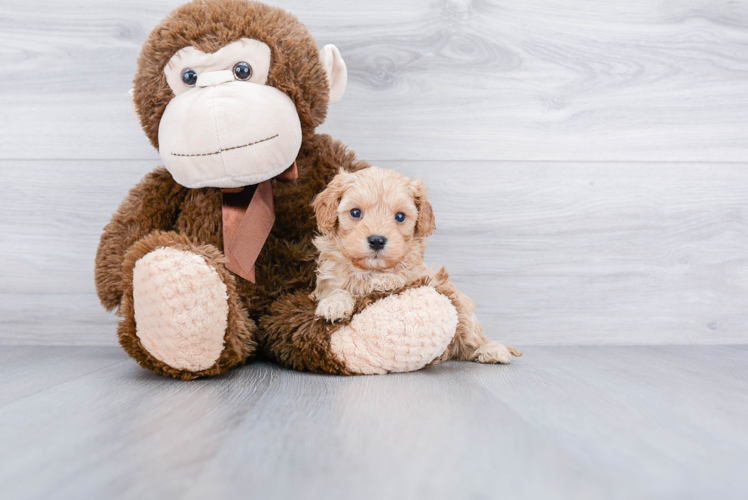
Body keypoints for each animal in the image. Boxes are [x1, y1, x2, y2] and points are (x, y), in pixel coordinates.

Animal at [310, 166, 520, 366]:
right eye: (355, 212)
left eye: (400, 216)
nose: (377, 241)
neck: (369, 269)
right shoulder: (325, 282)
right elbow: (335, 290)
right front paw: (334, 304)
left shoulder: (422, 275)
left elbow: (404, 274)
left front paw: (385, 280)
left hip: (461, 307)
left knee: (471, 340)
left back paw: (492, 350)